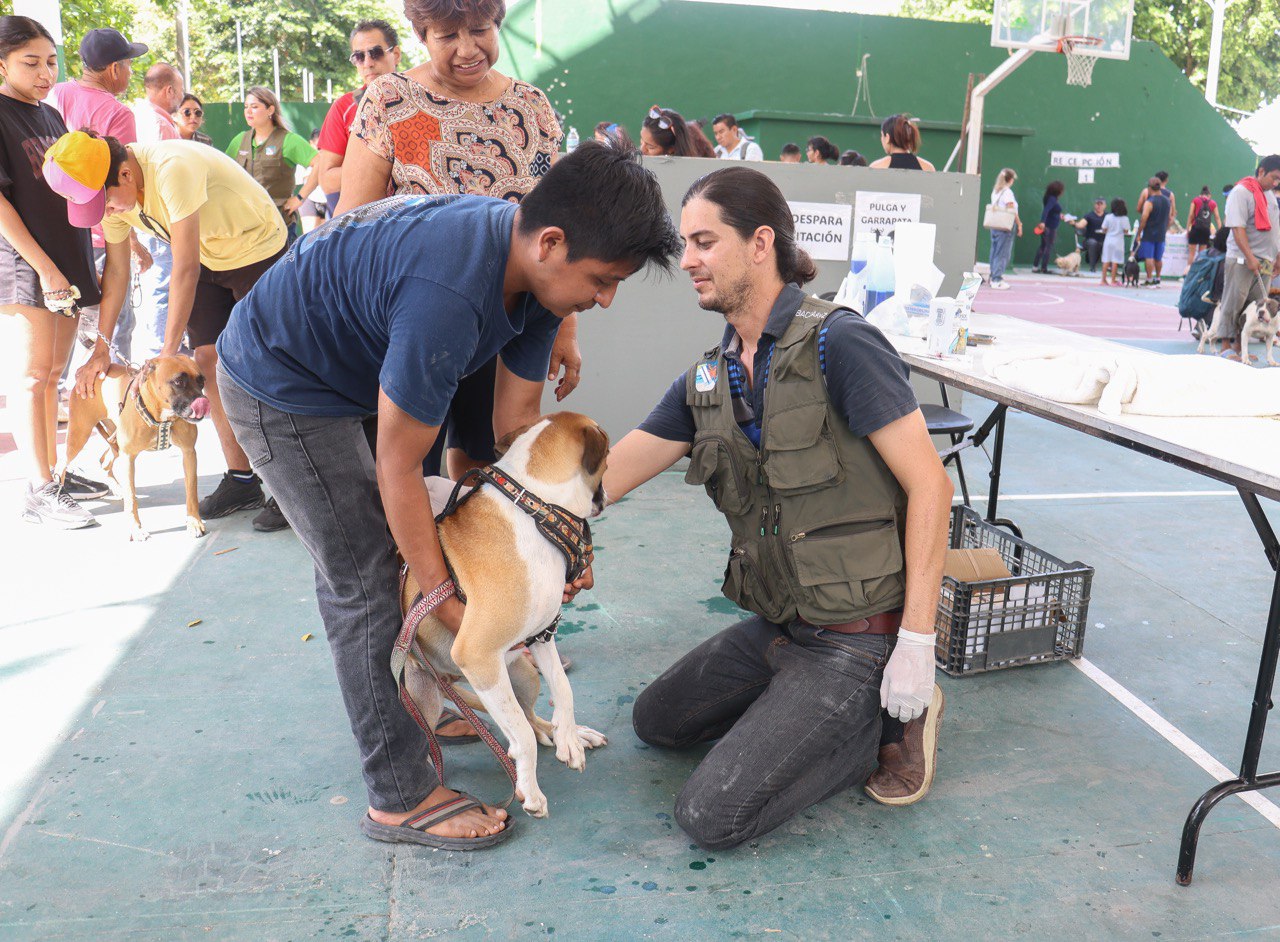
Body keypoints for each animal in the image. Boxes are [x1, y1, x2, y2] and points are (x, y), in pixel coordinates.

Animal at [59, 355, 210, 541]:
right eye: (178, 381)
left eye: (201, 381)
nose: (202, 401)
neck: (160, 415)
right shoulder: (128, 459)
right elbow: (131, 499)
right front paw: (136, 529)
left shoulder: (189, 453)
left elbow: (191, 492)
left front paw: (194, 522)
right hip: (78, 436)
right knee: (61, 465)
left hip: (114, 441)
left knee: (104, 460)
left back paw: (117, 488)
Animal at [401, 412, 610, 818]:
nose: (605, 498)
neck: (535, 508)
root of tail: (446, 682)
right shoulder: (476, 655)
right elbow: (523, 738)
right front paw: (530, 791)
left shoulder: (542, 635)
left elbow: (563, 688)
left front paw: (569, 737)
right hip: (427, 702)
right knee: (518, 728)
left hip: (523, 674)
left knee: (531, 719)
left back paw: (570, 734)